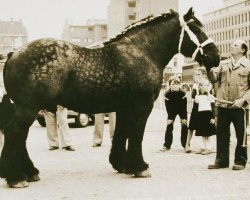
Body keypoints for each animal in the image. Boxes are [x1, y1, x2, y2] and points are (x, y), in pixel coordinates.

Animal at [0, 7, 219, 188]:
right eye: (196, 28)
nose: (215, 56)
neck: (142, 51)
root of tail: (13, 54)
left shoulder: (123, 108)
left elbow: (122, 133)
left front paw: (121, 164)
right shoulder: (141, 106)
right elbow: (136, 135)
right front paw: (139, 167)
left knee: (20, 137)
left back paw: (29, 172)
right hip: (28, 108)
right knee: (14, 133)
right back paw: (16, 177)